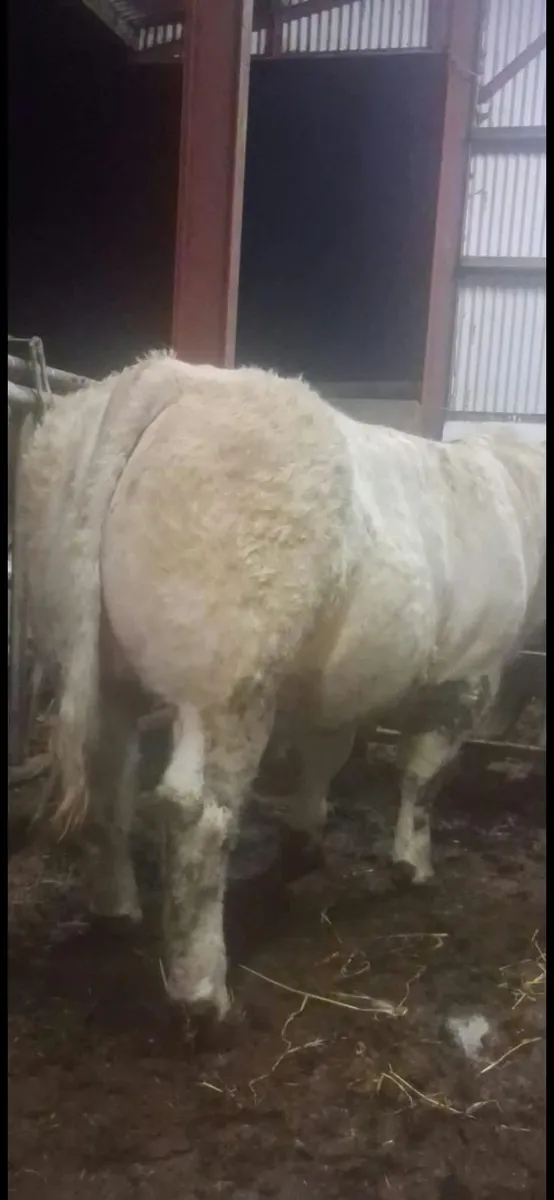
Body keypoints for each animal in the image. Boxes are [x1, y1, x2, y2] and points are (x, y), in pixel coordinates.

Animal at [19, 352, 546, 1020]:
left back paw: (117, 910)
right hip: (227, 680)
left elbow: (324, 756)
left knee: (110, 781)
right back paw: (204, 993)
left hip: (87, 654)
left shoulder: (341, 685)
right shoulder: (467, 674)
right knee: (198, 815)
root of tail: (163, 372)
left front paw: (305, 839)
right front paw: (412, 865)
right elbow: (423, 778)